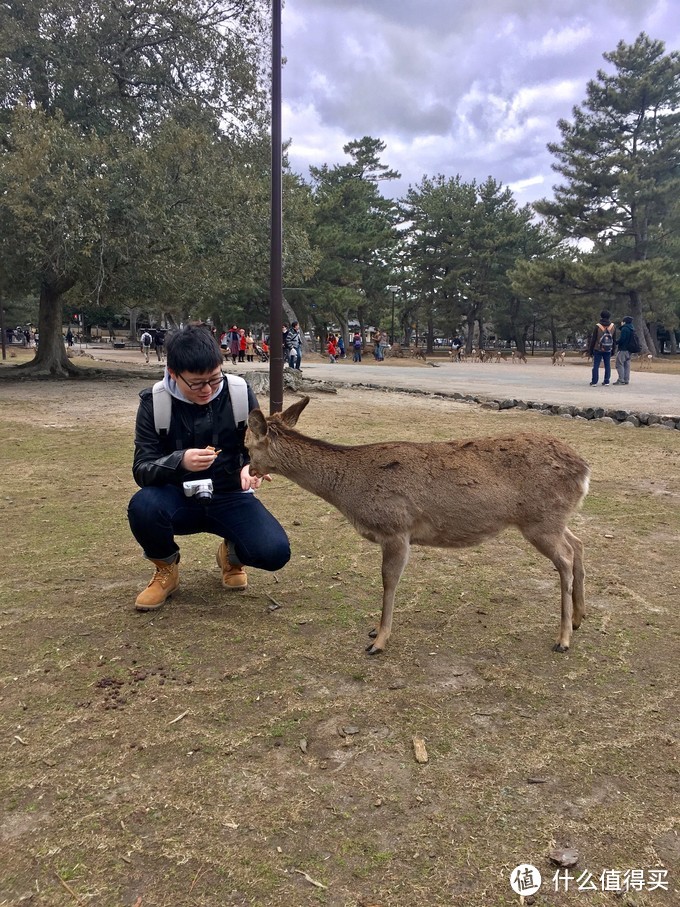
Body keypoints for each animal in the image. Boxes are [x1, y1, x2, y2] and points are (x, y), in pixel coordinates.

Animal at [246, 400, 588, 656]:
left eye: (248, 445)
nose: (249, 469)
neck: (349, 491)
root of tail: (584, 470)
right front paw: (375, 631)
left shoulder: (396, 528)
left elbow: (389, 581)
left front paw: (378, 641)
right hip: (552, 519)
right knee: (578, 543)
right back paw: (578, 619)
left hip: (540, 520)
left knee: (565, 558)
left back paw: (562, 639)